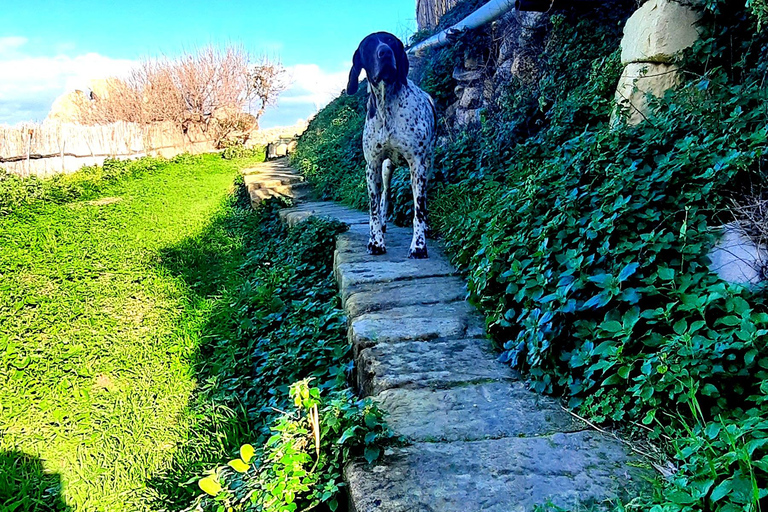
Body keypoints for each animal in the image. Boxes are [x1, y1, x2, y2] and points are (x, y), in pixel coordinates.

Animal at [344, 32, 436, 258]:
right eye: (368, 44)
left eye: (391, 40)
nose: (384, 52)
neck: (387, 105)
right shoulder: (373, 165)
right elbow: (374, 209)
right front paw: (376, 241)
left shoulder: (418, 165)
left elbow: (419, 209)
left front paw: (419, 245)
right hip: (386, 169)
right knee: (385, 195)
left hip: (428, 165)